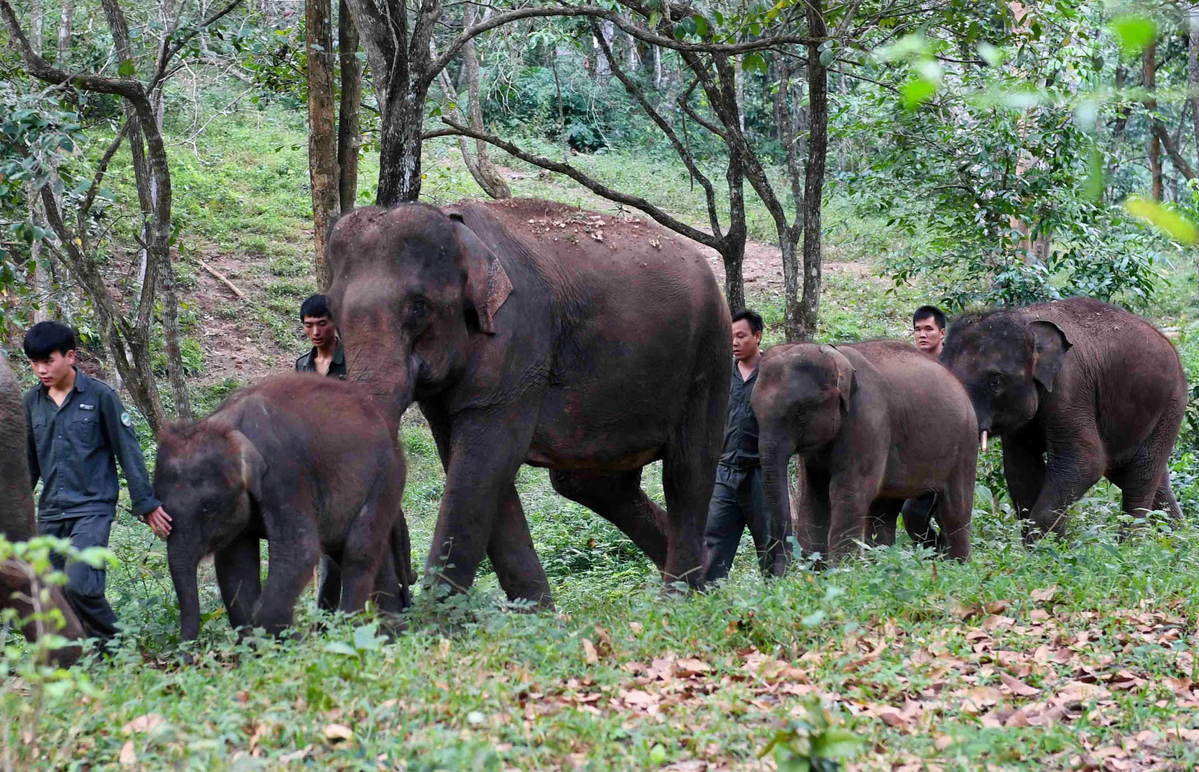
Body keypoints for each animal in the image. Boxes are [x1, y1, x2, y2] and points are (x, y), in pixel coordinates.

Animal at [154, 376, 412, 637]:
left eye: (209, 508)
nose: (186, 647)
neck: (229, 424)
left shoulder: (284, 471)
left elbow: (299, 552)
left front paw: (287, 637)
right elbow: (234, 564)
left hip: (388, 476)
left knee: (358, 550)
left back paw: (351, 630)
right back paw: (392, 633)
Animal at [323, 197, 724, 604]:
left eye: (419, 306)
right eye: (334, 311)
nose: (397, 603)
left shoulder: (519, 340)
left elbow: (486, 461)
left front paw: (437, 617)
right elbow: (469, 462)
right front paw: (538, 611)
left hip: (708, 356)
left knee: (687, 471)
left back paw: (681, 597)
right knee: (591, 483)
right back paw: (705, 579)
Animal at [752, 342, 978, 565]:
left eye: (800, 412)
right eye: (753, 411)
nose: (779, 570)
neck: (835, 354)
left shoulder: (868, 420)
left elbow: (848, 490)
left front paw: (841, 569)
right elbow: (815, 491)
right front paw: (813, 568)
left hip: (965, 443)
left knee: (954, 509)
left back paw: (957, 565)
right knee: (884, 511)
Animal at [944, 298, 1189, 539]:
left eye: (995, 381)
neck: (1024, 321)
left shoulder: (1070, 387)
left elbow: (1086, 461)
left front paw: (1049, 544)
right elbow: (1019, 469)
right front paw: (1048, 544)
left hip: (1170, 404)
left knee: (1139, 473)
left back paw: (1132, 544)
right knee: (1139, 474)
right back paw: (1177, 538)